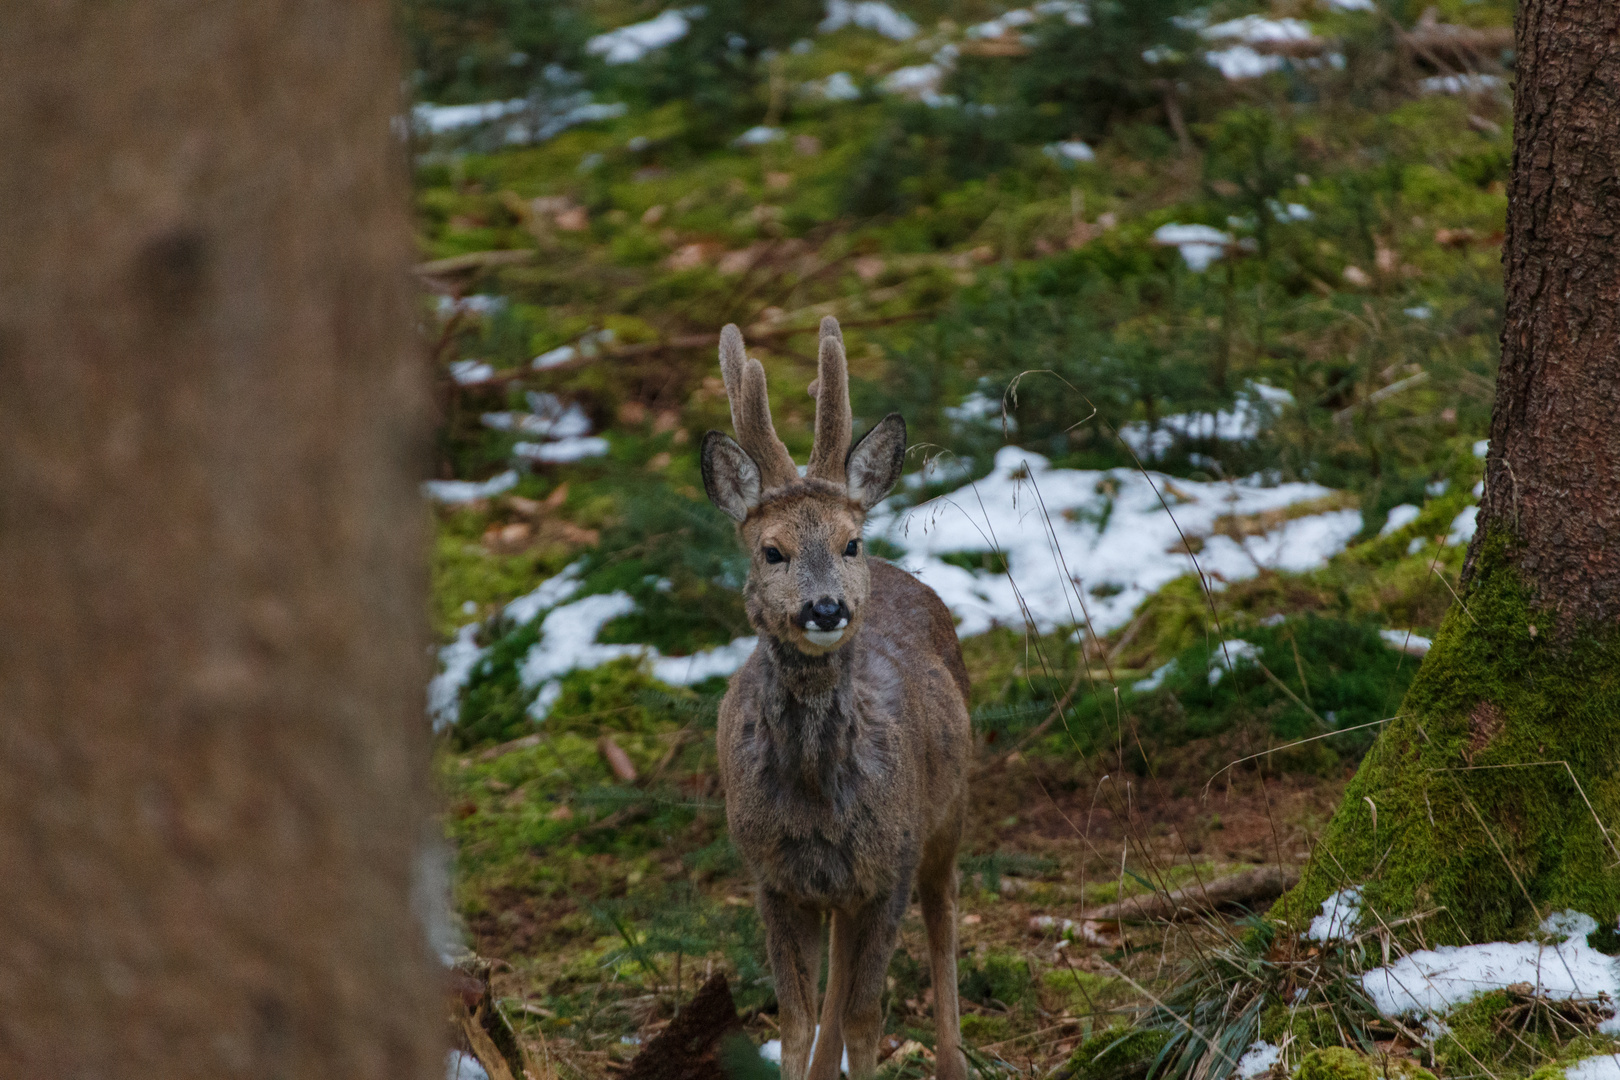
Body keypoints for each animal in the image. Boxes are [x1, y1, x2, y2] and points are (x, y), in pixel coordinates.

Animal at [699, 318, 972, 1080]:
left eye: (849, 542)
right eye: (771, 551)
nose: (826, 608)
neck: (819, 798)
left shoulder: (890, 865)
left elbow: (864, 1017)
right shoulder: (772, 876)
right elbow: (797, 1020)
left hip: (945, 819)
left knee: (944, 917)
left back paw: (953, 1059)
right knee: (834, 982)